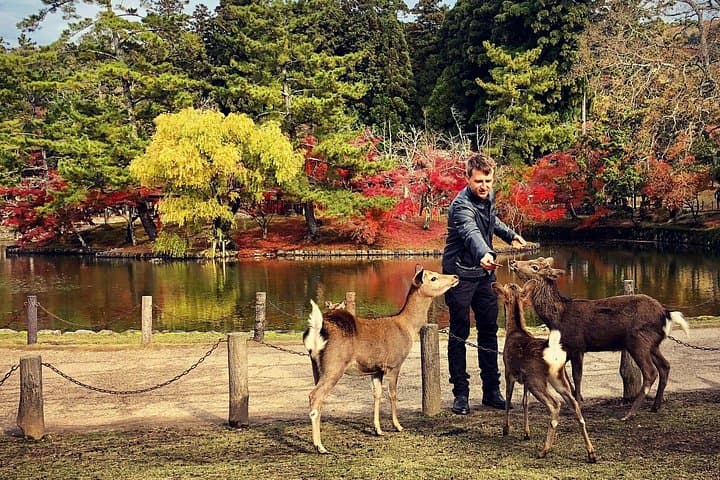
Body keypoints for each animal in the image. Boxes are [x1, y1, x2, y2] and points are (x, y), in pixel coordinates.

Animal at [302, 265, 459, 454]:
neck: (407, 327)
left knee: (318, 398)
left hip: (316, 366)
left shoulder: (376, 369)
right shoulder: (394, 363)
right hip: (334, 365)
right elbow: (392, 393)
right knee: (315, 396)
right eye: (433, 278)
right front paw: (398, 426)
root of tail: (315, 331)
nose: (455, 276)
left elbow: (377, 394)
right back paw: (320, 447)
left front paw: (378, 429)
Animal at [493, 280, 596, 462]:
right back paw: (591, 453)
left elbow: (508, 398)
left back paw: (544, 450)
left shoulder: (509, 371)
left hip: (537, 380)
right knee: (575, 404)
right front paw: (526, 433)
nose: (510, 283)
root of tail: (553, 352)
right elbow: (525, 402)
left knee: (555, 404)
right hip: (558, 377)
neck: (514, 332)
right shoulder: (525, 379)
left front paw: (505, 429)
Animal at [508, 257, 690, 420]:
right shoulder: (566, 347)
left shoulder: (577, 345)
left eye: (535, 267)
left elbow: (577, 375)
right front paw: (575, 399)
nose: (513, 262)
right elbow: (565, 373)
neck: (557, 318)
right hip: (653, 344)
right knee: (665, 366)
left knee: (650, 372)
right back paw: (655, 406)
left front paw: (578, 403)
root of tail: (665, 314)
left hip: (638, 341)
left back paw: (630, 413)